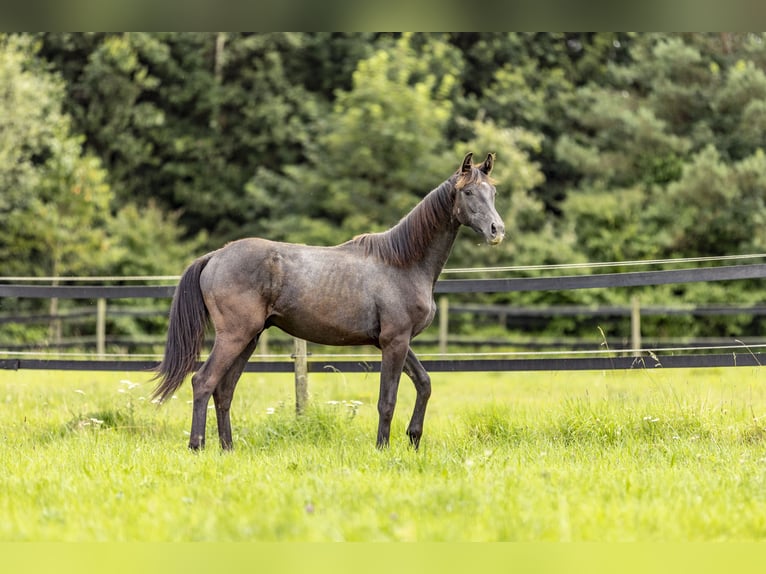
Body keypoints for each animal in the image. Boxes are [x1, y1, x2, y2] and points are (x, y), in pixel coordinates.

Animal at [153, 152, 508, 450]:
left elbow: (424, 383)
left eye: (492, 193)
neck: (403, 263)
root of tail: (215, 256)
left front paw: (413, 438)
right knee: (203, 382)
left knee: (224, 390)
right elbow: (387, 400)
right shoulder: (394, 341)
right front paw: (382, 448)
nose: (497, 230)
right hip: (234, 336)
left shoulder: (396, 341)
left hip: (248, 340)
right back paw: (197, 446)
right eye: (468, 193)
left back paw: (228, 448)